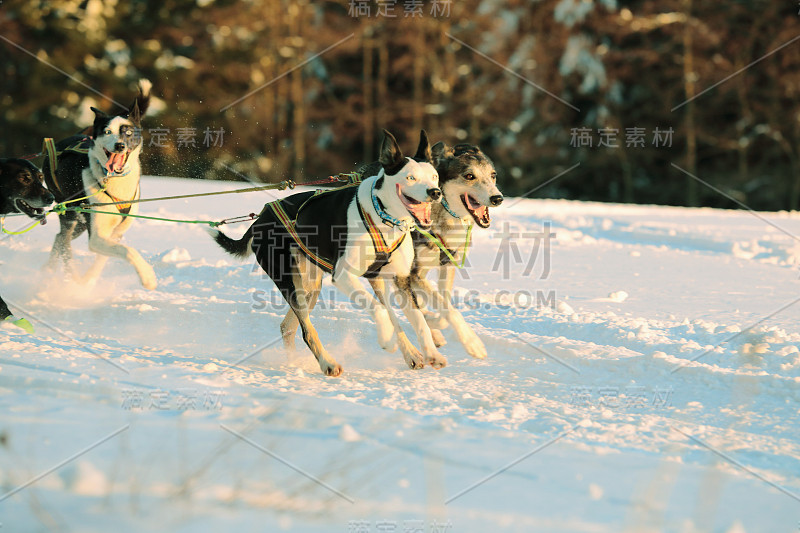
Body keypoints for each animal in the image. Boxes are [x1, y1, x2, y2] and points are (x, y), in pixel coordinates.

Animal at [44, 78, 156, 290]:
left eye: (128, 132)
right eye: (107, 132)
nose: (119, 145)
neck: (113, 182)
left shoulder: (114, 233)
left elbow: (106, 257)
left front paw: (90, 278)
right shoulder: (96, 236)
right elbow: (128, 251)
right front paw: (147, 276)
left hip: (80, 223)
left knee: (59, 238)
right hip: (70, 213)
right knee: (64, 242)